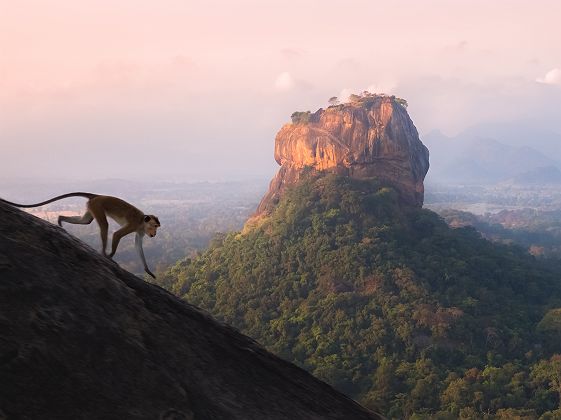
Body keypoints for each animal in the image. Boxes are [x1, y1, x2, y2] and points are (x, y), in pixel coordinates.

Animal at [0, 192, 160, 278]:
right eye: (154, 226)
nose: (154, 234)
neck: (142, 221)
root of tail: (97, 196)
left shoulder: (140, 231)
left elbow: (138, 245)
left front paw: (148, 271)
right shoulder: (133, 224)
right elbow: (116, 234)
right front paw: (109, 256)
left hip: (92, 207)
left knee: (86, 221)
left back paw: (60, 219)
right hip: (97, 206)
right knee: (104, 226)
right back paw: (103, 253)